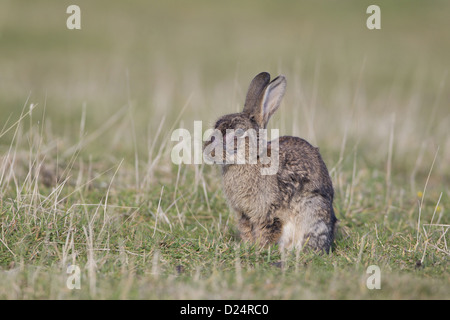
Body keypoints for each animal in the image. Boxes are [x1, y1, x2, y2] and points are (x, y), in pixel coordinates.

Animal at [204, 72, 338, 252]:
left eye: (236, 135)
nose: (208, 151)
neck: (251, 160)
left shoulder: (271, 212)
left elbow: (267, 231)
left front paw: (260, 248)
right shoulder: (244, 214)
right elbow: (247, 230)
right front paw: (248, 246)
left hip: (313, 209)